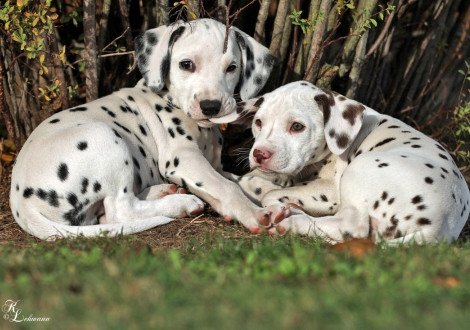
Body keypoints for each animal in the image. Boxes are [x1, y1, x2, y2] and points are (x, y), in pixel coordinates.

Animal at [10, 18, 290, 240]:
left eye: (232, 68)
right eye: (186, 65)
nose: (211, 106)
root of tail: (20, 203)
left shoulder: (215, 166)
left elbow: (247, 181)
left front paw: (274, 194)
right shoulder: (185, 160)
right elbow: (227, 187)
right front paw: (254, 213)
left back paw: (162, 191)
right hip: (105, 136)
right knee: (120, 211)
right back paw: (179, 203)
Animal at [213, 81, 470, 244]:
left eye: (297, 126)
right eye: (258, 123)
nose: (259, 154)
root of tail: (438, 227)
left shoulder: (330, 192)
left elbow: (268, 191)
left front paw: (261, 188)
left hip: (360, 170)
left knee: (352, 227)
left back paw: (291, 220)